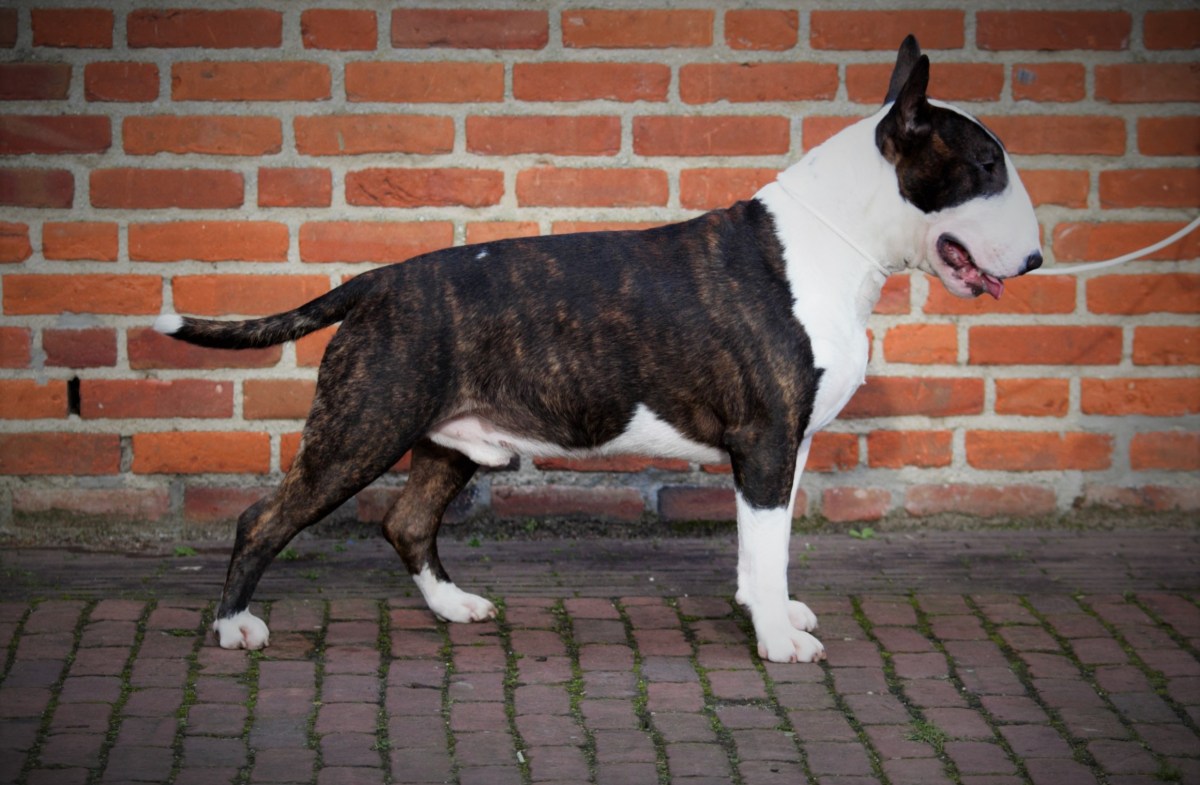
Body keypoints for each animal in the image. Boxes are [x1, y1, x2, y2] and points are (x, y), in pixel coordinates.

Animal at [153, 36, 1042, 662]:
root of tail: (377, 280)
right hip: (361, 429)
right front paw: (780, 641)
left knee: (406, 523)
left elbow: (769, 547)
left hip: (450, 439)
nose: (1036, 259)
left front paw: (771, 613)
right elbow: (768, 546)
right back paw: (234, 625)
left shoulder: (785, 449)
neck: (838, 241)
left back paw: (453, 606)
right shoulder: (764, 442)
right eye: (986, 163)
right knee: (263, 518)